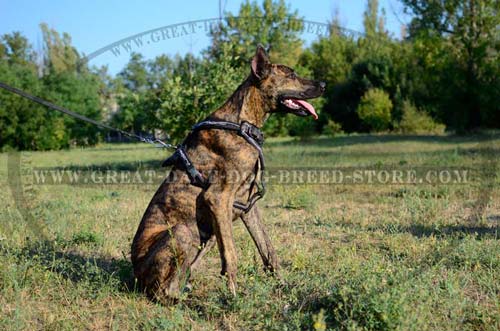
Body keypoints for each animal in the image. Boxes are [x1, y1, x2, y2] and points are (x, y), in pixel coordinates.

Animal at [131, 45, 324, 304]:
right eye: (291, 74)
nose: (324, 84)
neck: (243, 124)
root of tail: (135, 275)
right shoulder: (218, 198)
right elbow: (231, 256)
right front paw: (234, 299)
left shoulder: (247, 205)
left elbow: (268, 249)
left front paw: (285, 287)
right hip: (184, 232)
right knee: (163, 291)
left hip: (206, 236)